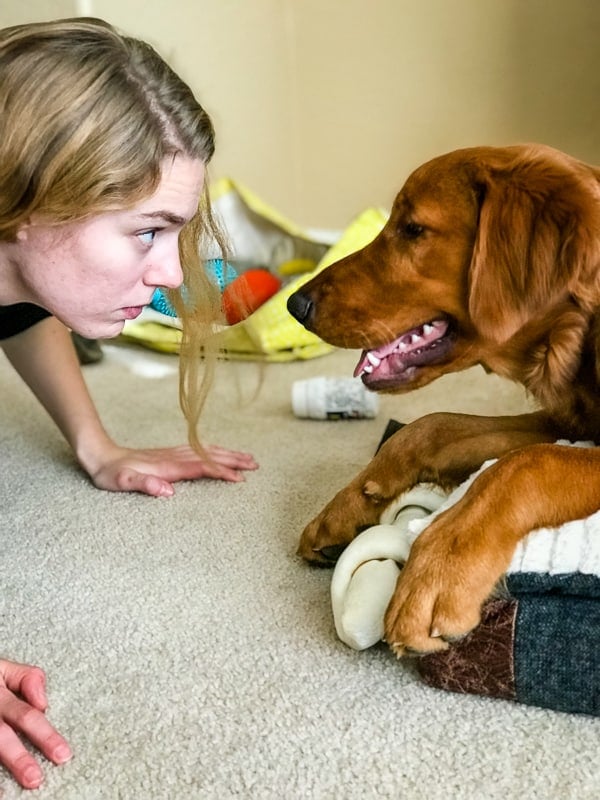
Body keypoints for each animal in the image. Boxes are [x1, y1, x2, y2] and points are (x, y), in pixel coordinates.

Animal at [288, 144, 600, 656]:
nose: (295, 305)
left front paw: (439, 568)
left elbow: (527, 464)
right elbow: (433, 425)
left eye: (413, 229)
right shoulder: (571, 418)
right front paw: (350, 503)